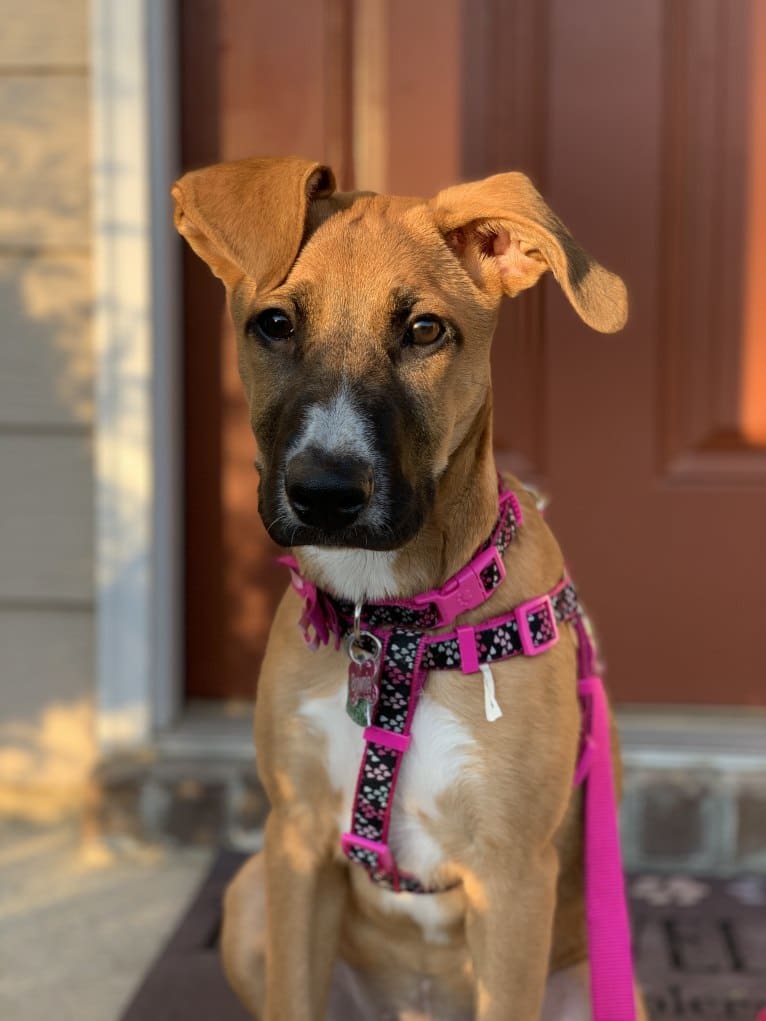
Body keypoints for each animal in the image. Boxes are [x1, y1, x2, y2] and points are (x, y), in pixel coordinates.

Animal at [173, 159, 649, 1021]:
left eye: (426, 330)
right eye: (273, 323)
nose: (326, 492)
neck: (391, 626)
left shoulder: (512, 880)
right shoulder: (295, 843)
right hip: (250, 898)